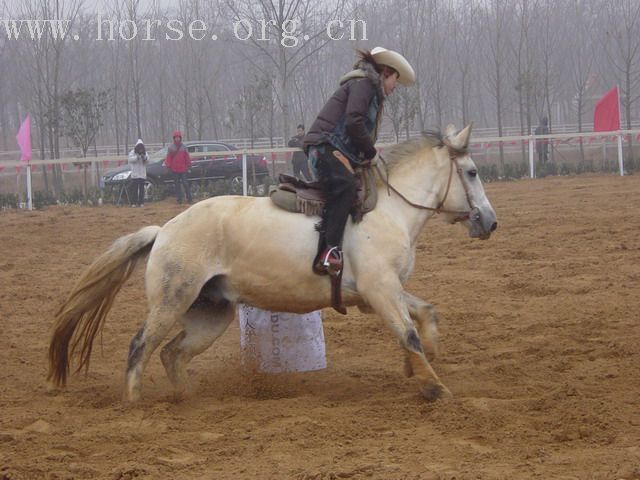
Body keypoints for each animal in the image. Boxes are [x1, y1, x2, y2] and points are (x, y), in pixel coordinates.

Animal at [51, 124, 500, 402]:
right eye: (472, 172)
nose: (491, 221)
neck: (387, 210)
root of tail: (164, 230)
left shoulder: (381, 291)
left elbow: (424, 313)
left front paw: (422, 362)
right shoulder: (380, 290)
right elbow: (407, 332)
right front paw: (434, 388)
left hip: (211, 313)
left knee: (172, 354)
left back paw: (187, 398)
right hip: (170, 302)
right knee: (140, 346)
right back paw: (134, 405)